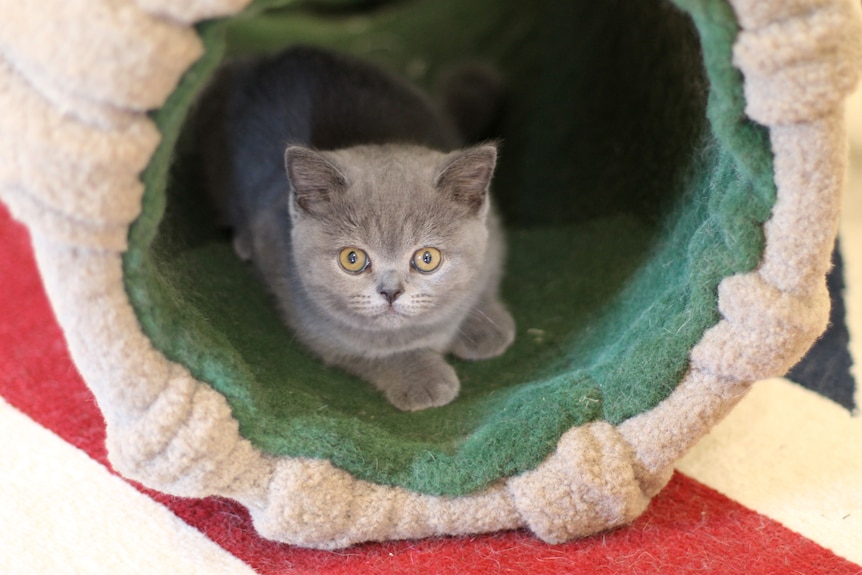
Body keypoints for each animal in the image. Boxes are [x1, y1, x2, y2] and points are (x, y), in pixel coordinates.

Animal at [199, 47, 516, 412]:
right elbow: (367, 352)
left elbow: (485, 278)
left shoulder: (494, 232)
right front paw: (422, 378)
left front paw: (484, 327)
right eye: (352, 259)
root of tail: (271, 59)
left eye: (427, 258)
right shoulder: (311, 321)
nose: (390, 292)